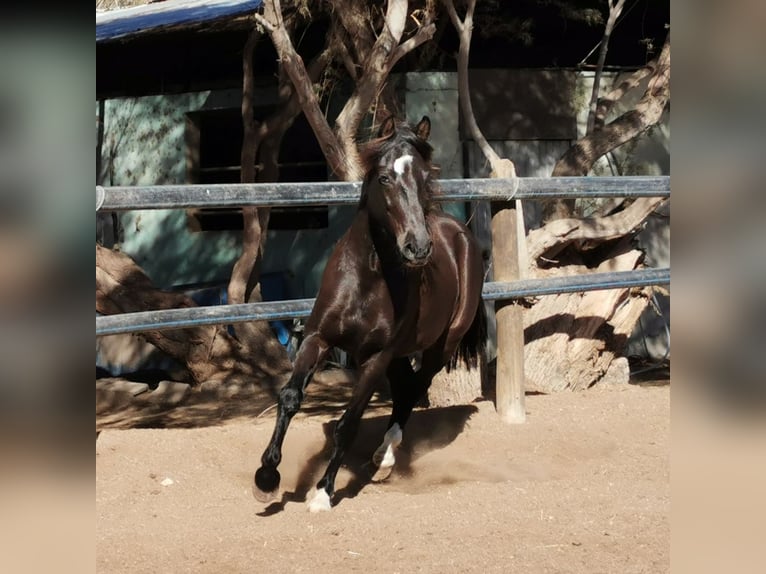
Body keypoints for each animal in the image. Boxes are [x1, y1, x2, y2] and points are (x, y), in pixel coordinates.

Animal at [255, 116, 488, 512]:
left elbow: (347, 424)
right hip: (399, 354)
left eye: (425, 176)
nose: (418, 247)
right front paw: (266, 478)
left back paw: (386, 456)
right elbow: (289, 397)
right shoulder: (319, 338)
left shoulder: (375, 357)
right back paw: (379, 457)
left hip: (439, 346)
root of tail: (460, 233)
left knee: (415, 389)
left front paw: (322, 493)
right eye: (384, 177)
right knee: (405, 388)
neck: (367, 277)